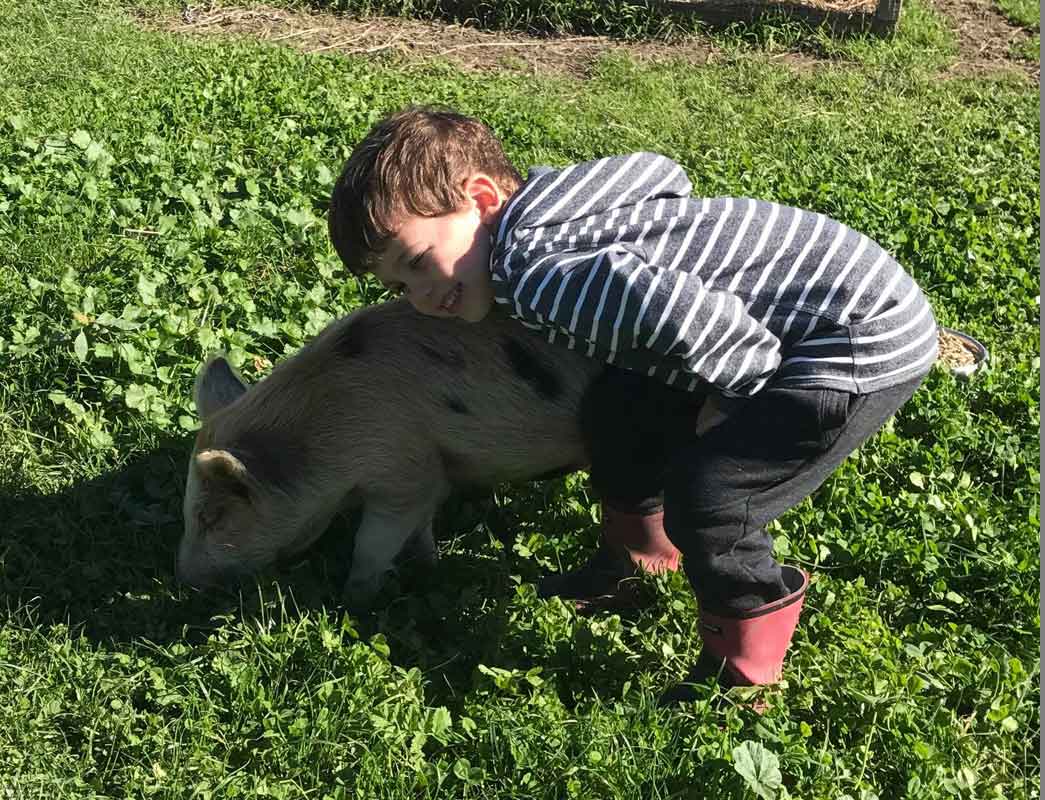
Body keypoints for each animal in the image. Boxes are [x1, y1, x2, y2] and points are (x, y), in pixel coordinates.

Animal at [178, 298, 603, 606]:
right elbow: (421, 528)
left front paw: (352, 602)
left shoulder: (403, 474)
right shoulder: (430, 474)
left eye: (211, 517)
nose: (185, 580)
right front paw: (428, 566)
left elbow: (370, 545)